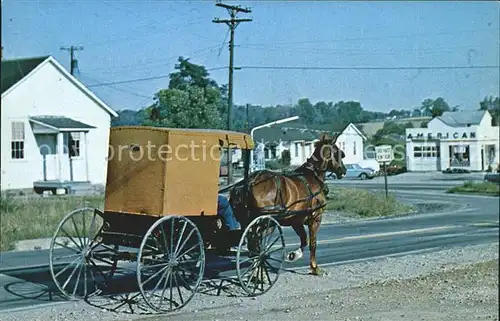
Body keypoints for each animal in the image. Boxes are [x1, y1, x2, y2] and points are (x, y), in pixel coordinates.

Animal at [229, 132, 344, 276]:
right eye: (338, 152)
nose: (343, 170)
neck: (313, 177)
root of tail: (249, 182)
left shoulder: (296, 220)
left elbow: (304, 239)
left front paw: (294, 255)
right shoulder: (315, 218)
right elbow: (313, 243)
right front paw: (315, 268)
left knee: (252, 245)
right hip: (266, 222)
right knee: (256, 244)